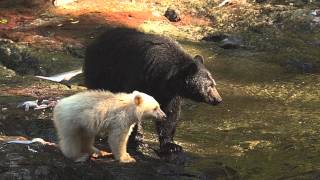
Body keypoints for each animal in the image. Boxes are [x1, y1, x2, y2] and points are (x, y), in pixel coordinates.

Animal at [84, 27, 221, 160]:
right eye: (209, 85)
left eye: (214, 83)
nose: (218, 99)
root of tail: (95, 40)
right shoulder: (139, 77)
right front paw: (137, 139)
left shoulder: (169, 94)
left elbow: (170, 114)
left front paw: (172, 146)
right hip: (102, 72)